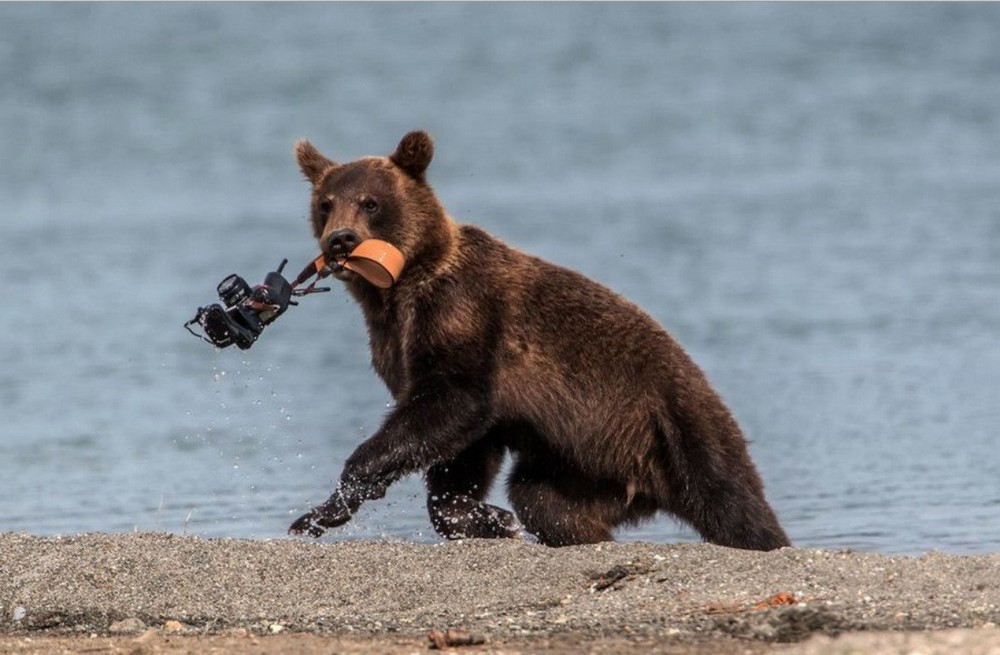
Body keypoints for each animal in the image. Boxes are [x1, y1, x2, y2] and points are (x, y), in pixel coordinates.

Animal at [288, 131, 788, 552]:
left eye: (370, 202)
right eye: (326, 204)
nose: (341, 240)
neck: (400, 288)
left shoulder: (463, 315)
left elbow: (452, 401)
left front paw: (338, 495)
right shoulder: (397, 343)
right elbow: (462, 445)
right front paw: (489, 519)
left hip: (676, 422)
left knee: (730, 500)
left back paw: (766, 538)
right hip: (583, 466)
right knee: (544, 501)